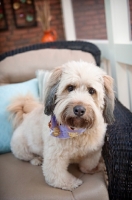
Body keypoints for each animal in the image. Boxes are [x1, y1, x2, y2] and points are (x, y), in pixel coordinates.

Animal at [8, 61, 114, 191]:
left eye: (91, 91)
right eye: (70, 88)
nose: (79, 110)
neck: (75, 131)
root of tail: (25, 117)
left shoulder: (93, 152)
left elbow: (87, 165)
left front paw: (94, 168)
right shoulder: (55, 156)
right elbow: (57, 175)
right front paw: (71, 183)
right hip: (21, 148)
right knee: (28, 157)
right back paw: (37, 159)